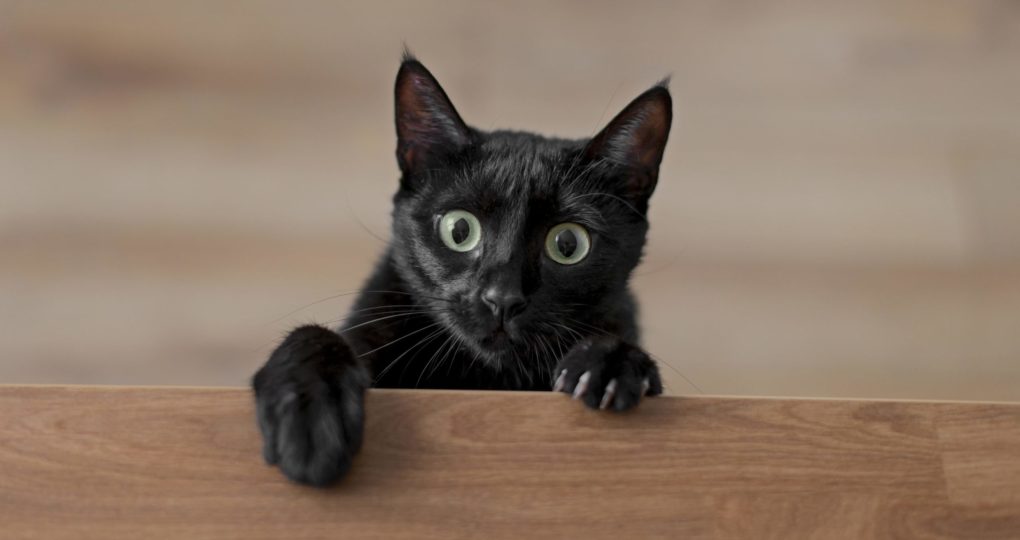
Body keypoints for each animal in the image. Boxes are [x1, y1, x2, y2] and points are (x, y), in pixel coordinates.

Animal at [252, 53, 669, 483]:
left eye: (568, 244)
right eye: (459, 230)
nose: (503, 298)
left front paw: (609, 363)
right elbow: (313, 334)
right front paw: (310, 412)